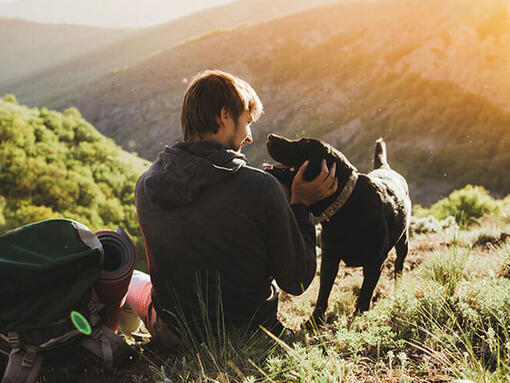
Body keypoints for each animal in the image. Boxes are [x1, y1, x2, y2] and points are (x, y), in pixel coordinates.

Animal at [264, 135, 412, 324]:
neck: (345, 204)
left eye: (302, 143)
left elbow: (365, 293)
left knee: (399, 264)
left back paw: (398, 287)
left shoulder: (374, 263)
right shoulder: (329, 259)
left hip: (403, 241)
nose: (271, 136)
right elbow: (323, 293)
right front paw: (314, 321)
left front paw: (359, 317)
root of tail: (385, 168)